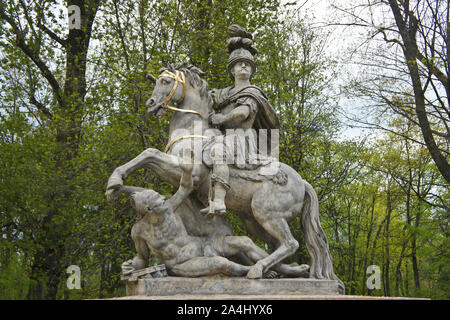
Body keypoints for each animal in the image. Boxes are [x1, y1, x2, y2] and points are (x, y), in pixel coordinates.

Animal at [105, 63, 344, 292]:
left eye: (165, 81)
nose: (151, 103)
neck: (192, 129)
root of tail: (302, 182)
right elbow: (149, 156)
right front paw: (116, 187)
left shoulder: (186, 170)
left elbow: (150, 153)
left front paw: (113, 182)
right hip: (254, 220)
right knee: (277, 245)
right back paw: (286, 271)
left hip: (266, 213)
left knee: (291, 243)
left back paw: (258, 270)